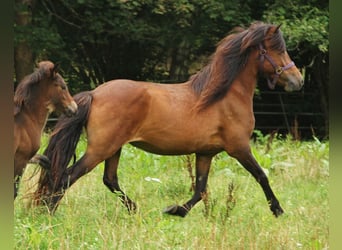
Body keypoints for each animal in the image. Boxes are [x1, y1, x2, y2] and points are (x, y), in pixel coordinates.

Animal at [14, 61, 77, 199]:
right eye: (63, 87)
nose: (75, 108)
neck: (25, 120)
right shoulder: (20, 160)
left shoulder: (29, 157)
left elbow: (45, 160)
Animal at [35, 22, 302, 217]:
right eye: (278, 50)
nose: (298, 80)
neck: (223, 97)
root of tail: (95, 93)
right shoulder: (239, 148)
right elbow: (262, 175)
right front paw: (278, 210)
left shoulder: (205, 153)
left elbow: (200, 189)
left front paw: (176, 211)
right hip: (101, 149)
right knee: (67, 176)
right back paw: (48, 212)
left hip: (113, 148)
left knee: (109, 179)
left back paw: (134, 209)